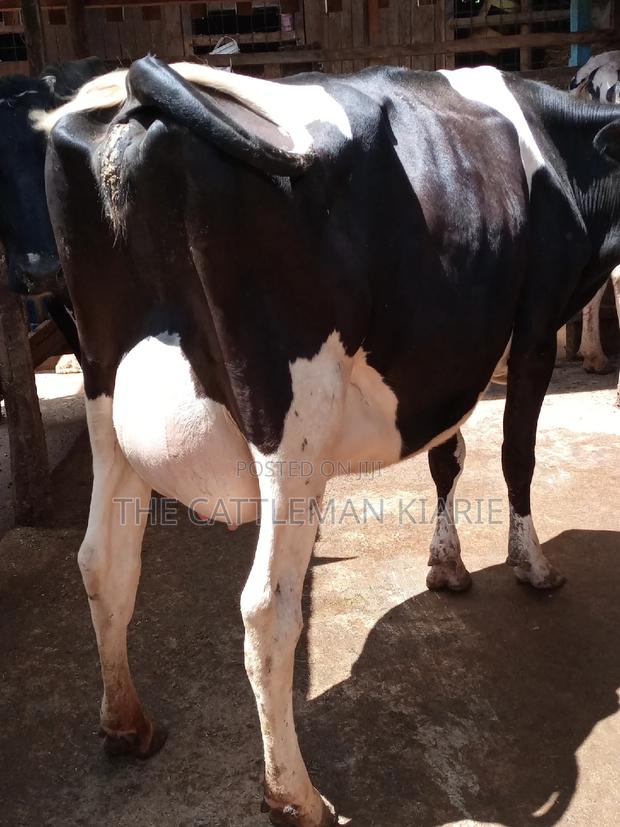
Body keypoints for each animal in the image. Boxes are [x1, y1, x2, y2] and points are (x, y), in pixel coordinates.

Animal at [37, 58, 620, 826]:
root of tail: (140, 90)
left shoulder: (450, 354)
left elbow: (448, 455)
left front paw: (447, 565)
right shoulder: (532, 328)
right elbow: (515, 454)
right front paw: (534, 566)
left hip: (104, 397)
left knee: (103, 560)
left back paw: (128, 723)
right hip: (293, 429)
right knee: (267, 607)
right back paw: (295, 794)